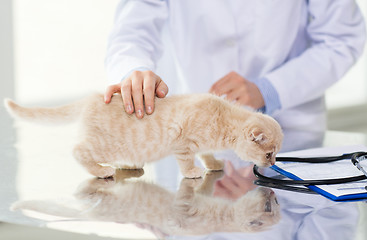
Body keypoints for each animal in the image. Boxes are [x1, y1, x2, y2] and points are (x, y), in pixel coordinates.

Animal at [3, 93, 284, 178]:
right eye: (269, 154)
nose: (273, 163)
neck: (223, 117)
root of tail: (91, 98)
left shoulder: (202, 143)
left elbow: (206, 153)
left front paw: (213, 163)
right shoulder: (182, 143)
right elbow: (186, 160)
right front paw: (193, 172)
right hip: (104, 145)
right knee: (78, 151)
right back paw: (102, 171)